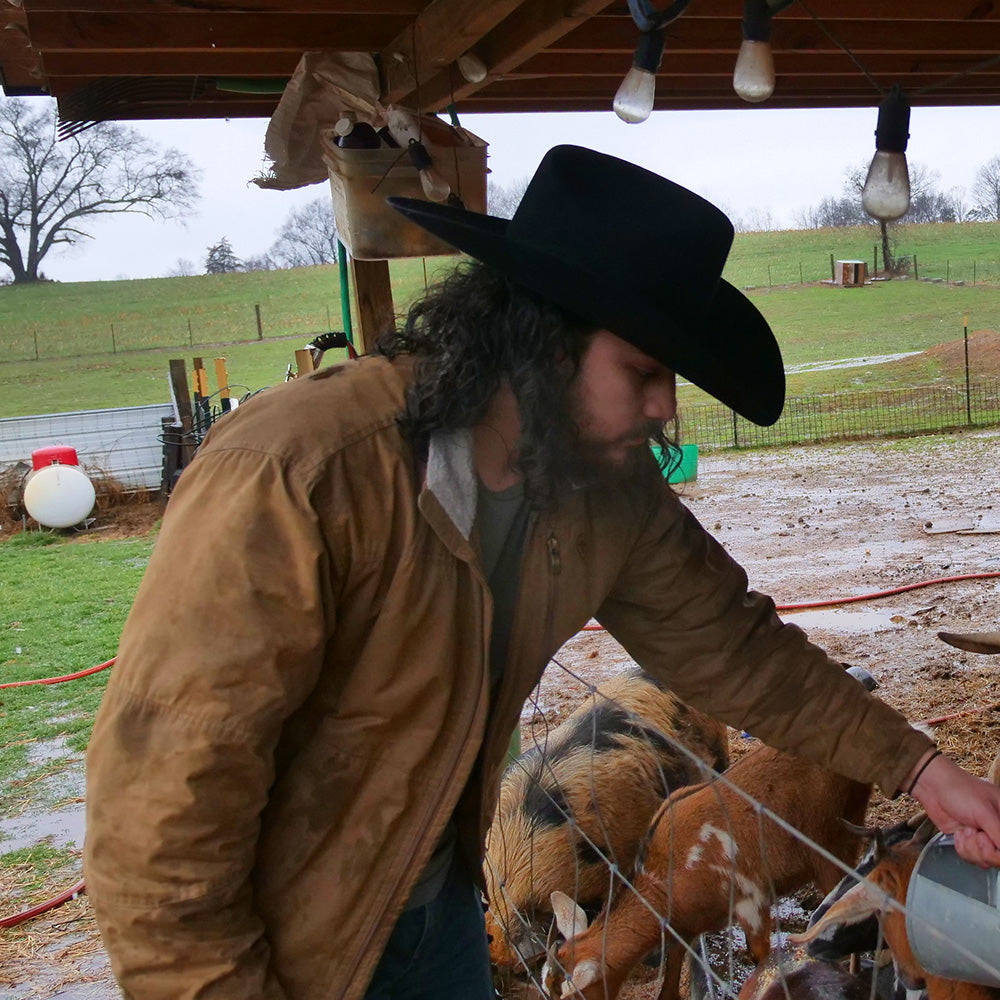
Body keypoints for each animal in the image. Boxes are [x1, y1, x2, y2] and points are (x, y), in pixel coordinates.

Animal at [540, 744, 876, 1000]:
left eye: (572, 996)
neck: (663, 881)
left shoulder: (750, 899)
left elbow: (761, 957)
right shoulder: (686, 924)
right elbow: (673, 966)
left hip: (830, 842)